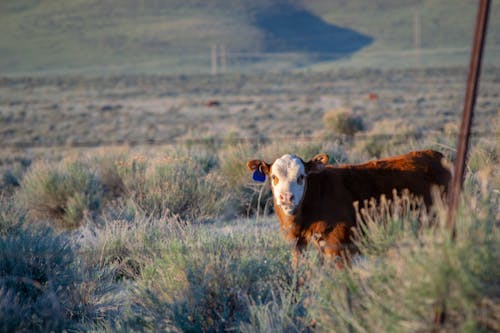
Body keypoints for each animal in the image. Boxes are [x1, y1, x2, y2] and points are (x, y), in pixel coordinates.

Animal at [248, 149, 452, 266]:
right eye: (274, 177)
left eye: (301, 177)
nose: (286, 197)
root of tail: (435, 154)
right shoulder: (299, 247)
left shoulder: (339, 249)